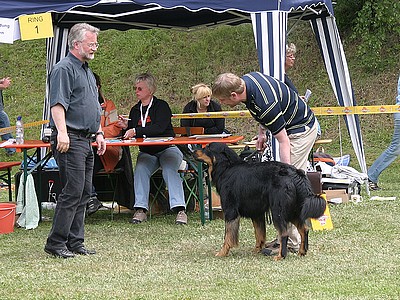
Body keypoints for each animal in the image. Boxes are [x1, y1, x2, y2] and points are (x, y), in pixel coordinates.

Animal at [195, 143, 328, 260]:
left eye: (208, 147)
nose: (193, 151)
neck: (226, 168)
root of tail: (294, 173)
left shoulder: (230, 211)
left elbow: (228, 236)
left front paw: (223, 252)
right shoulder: (257, 212)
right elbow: (259, 233)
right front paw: (257, 250)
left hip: (278, 211)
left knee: (284, 233)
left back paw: (280, 256)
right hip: (292, 210)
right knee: (304, 229)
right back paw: (301, 252)